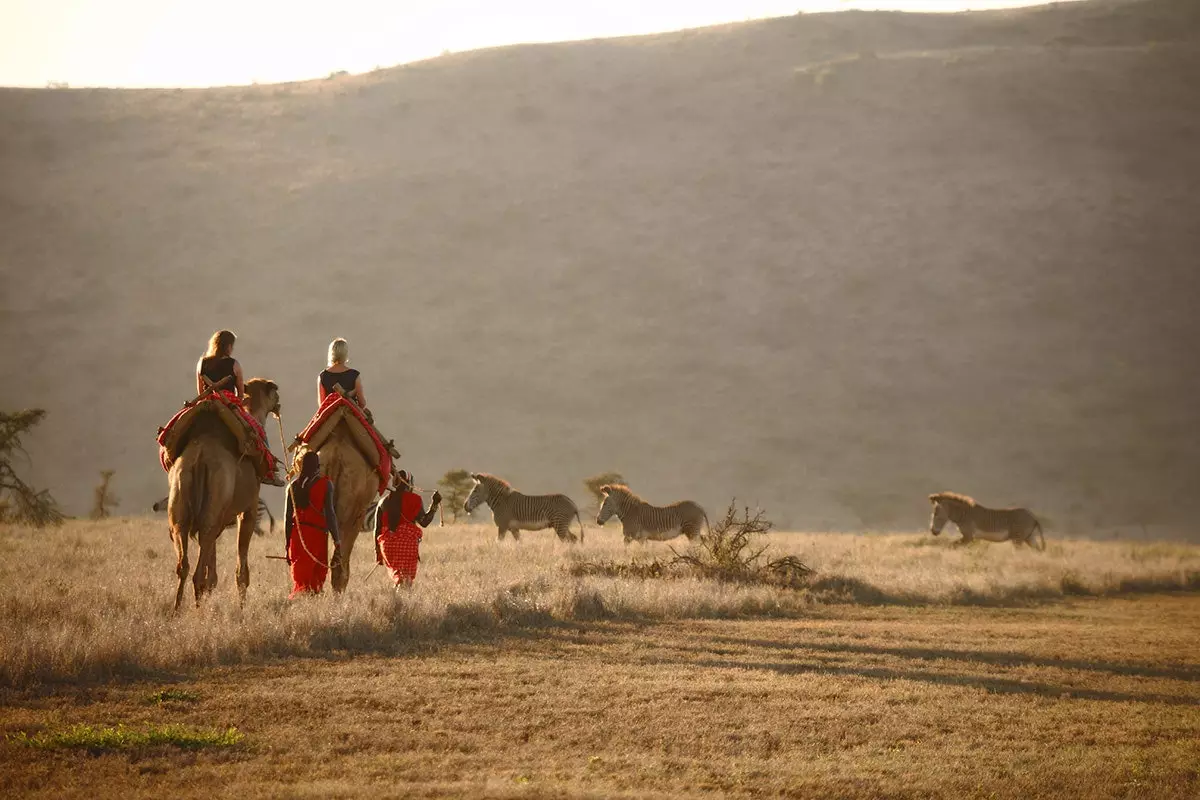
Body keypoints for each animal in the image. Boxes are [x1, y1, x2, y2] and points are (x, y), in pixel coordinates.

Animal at [165, 379, 289, 609]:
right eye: (275, 393)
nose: (278, 405)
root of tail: (200, 457)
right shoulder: (248, 509)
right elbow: (241, 569)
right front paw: (242, 608)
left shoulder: (220, 519)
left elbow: (212, 571)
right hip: (215, 502)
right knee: (198, 570)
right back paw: (197, 611)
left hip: (182, 501)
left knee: (184, 562)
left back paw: (177, 609)